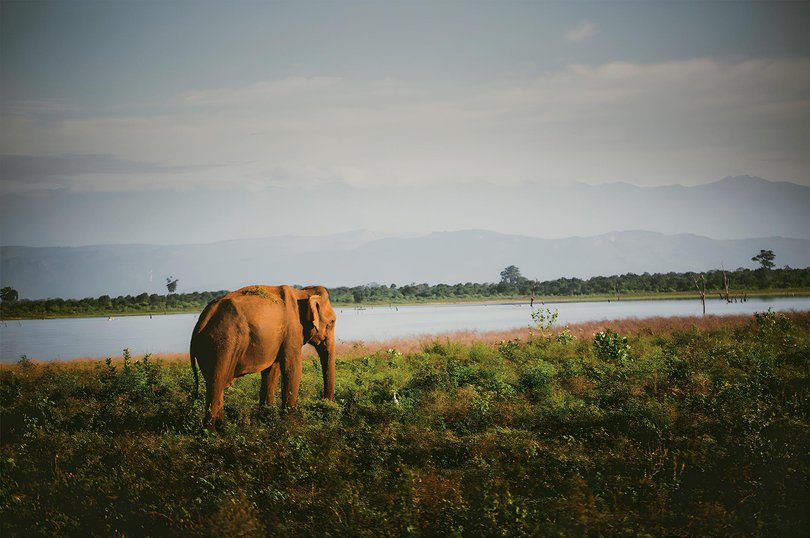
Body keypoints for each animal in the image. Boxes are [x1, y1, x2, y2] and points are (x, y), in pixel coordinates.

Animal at [189, 285, 337, 428]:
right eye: (332, 322)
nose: (324, 405)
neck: (302, 293)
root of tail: (201, 321)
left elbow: (271, 371)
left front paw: (267, 419)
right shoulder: (293, 330)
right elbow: (292, 369)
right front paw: (291, 424)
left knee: (215, 384)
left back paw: (222, 427)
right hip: (222, 343)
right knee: (216, 383)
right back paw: (213, 431)